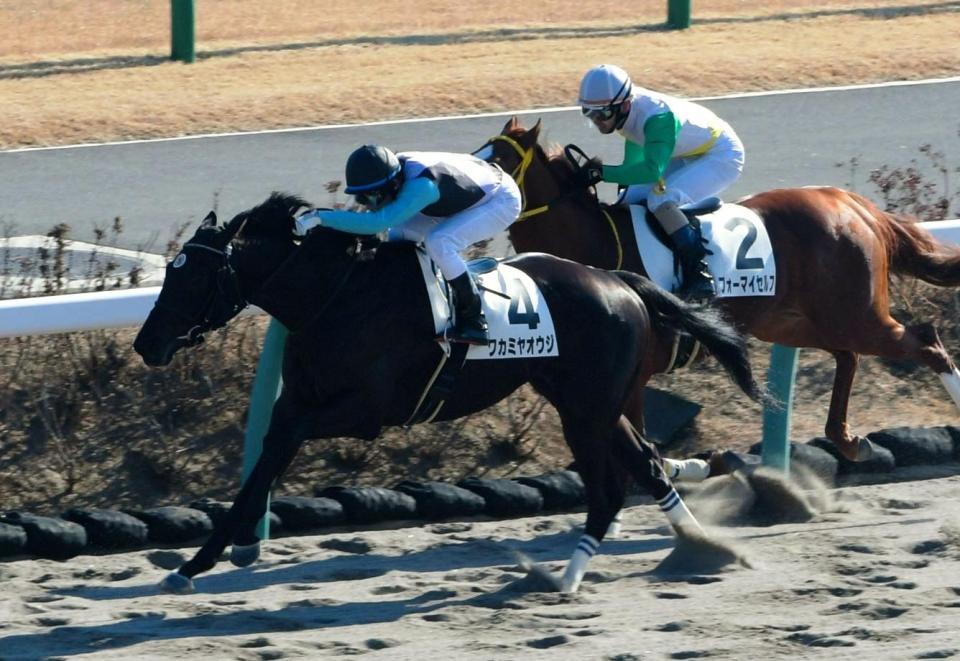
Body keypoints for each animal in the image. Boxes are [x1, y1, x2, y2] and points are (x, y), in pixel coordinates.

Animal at [476, 117, 960, 458]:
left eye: (498, 162)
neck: (593, 245)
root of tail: (854, 205)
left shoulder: (633, 376)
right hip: (796, 322)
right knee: (850, 356)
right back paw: (844, 438)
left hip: (856, 313)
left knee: (924, 341)